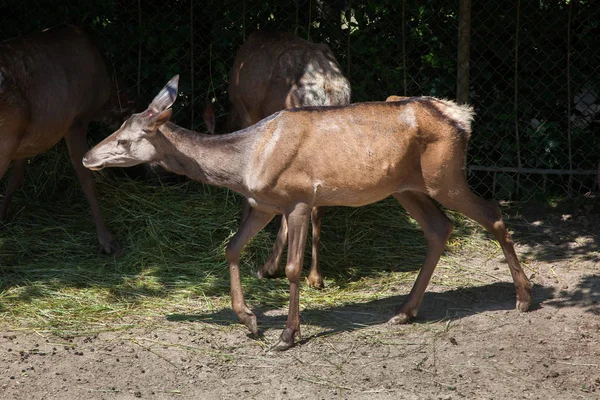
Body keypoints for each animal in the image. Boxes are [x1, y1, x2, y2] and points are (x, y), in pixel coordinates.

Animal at [82, 75, 532, 350]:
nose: (87, 157)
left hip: (445, 175)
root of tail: (461, 116)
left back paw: (524, 298)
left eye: (124, 140)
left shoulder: (297, 198)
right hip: (407, 188)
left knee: (493, 213)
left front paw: (287, 335)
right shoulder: (263, 204)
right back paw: (403, 312)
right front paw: (249, 321)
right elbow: (231, 248)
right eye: (118, 127)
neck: (246, 162)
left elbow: (293, 268)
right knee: (440, 228)